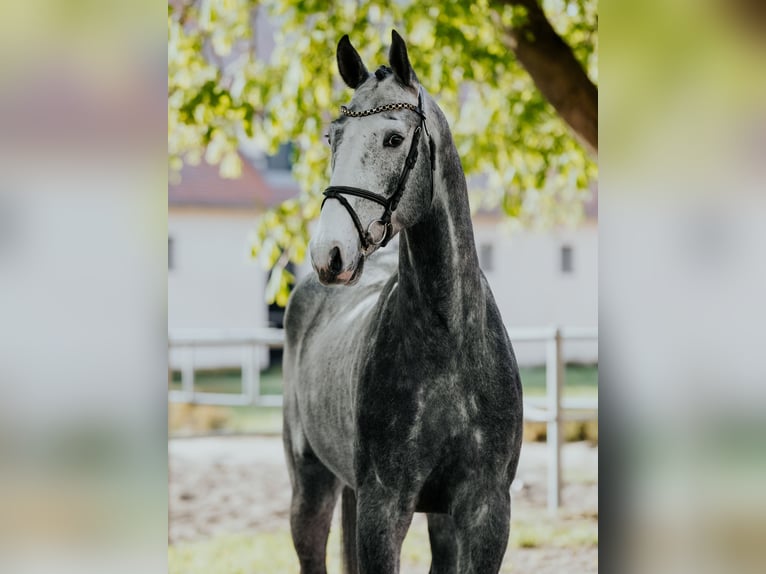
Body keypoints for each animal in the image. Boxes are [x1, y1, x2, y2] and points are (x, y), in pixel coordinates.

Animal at [282, 30, 523, 574]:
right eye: (332, 139)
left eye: (393, 139)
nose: (329, 254)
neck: (449, 344)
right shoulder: (383, 506)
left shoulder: (485, 511)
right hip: (310, 484)